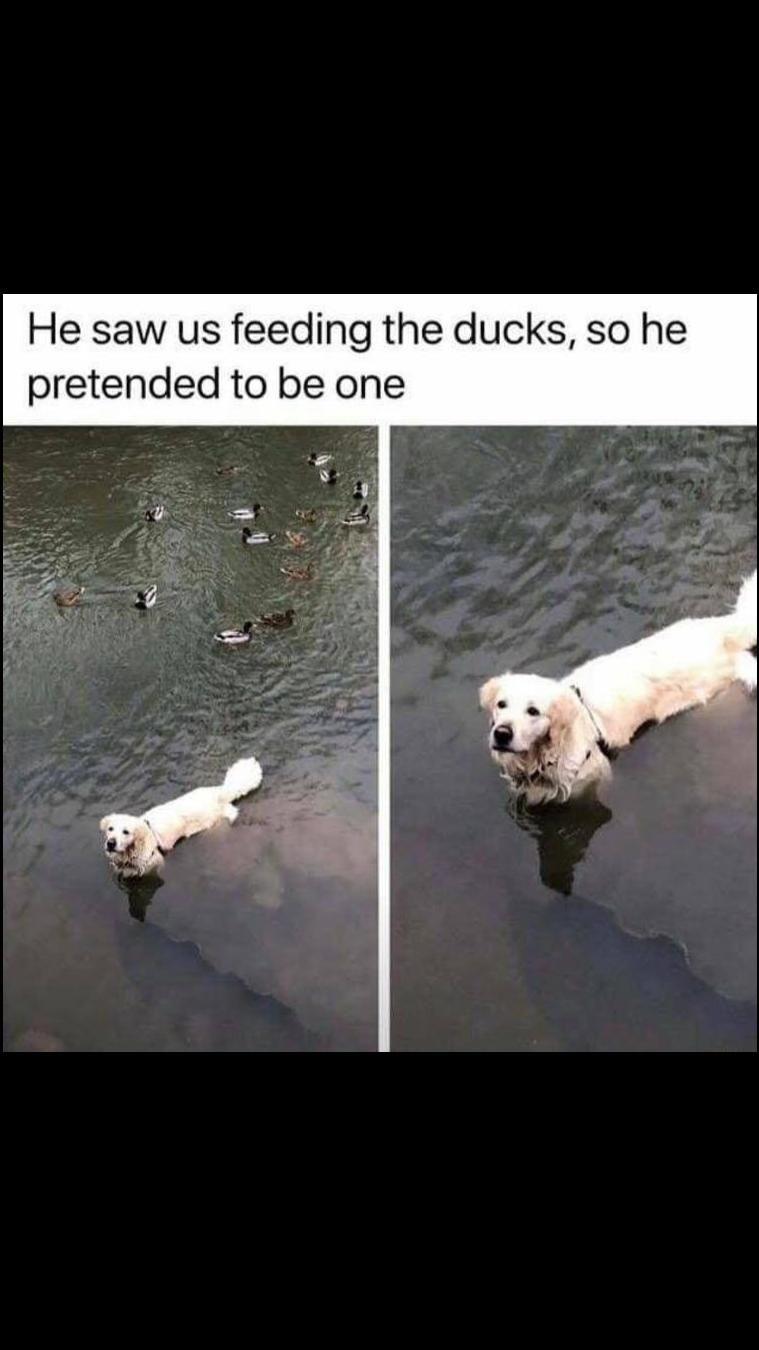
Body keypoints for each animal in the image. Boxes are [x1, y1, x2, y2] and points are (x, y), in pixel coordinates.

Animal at [475, 572, 750, 804]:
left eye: (533, 711)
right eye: (501, 705)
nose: (501, 733)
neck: (546, 757)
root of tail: (722, 629)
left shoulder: (593, 779)